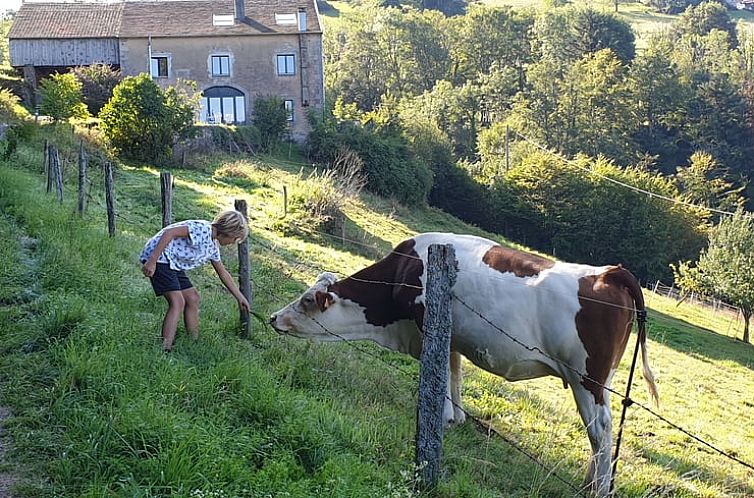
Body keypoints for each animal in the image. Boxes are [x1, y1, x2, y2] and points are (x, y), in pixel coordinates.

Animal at [268, 232, 652, 494]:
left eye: (306, 301)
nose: (273, 318)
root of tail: (609, 272)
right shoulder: (451, 331)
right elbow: (451, 371)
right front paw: (455, 417)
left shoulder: (426, 321)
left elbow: (438, 370)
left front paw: (438, 417)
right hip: (601, 379)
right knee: (600, 435)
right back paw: (590, 482)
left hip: (585, 377)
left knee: (600, 429)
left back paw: (598, 489)